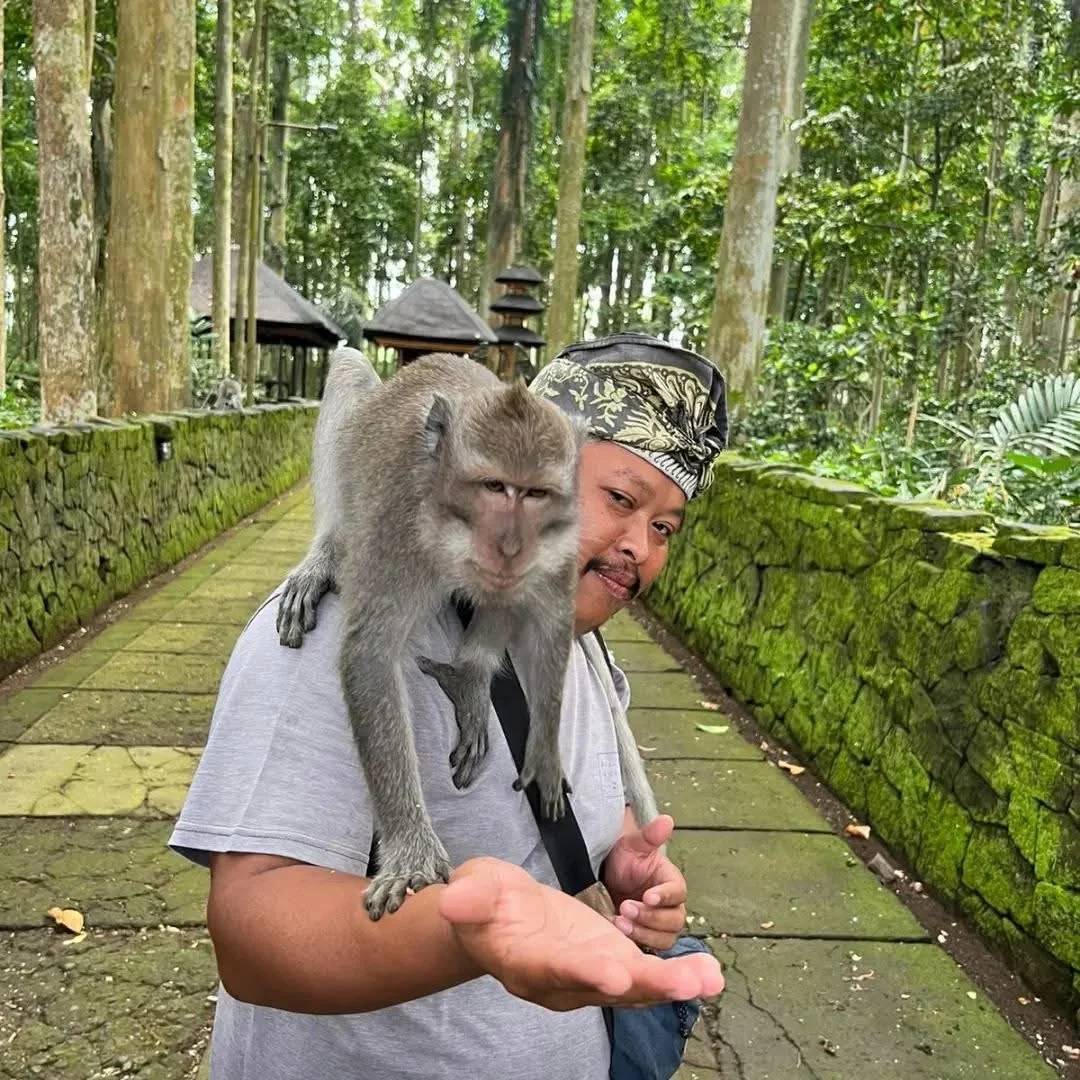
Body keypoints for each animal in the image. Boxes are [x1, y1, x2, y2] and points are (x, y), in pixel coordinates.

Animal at [277, 347, 584, 919]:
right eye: (494, 487)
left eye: (536, 493)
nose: (511, 545)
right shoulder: (398, 528)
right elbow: (370, 653)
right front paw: (412, 853)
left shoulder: (563, 537)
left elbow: (553, 620)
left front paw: (544, 754)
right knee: (347, 365)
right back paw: (324, 555)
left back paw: (470, 679)